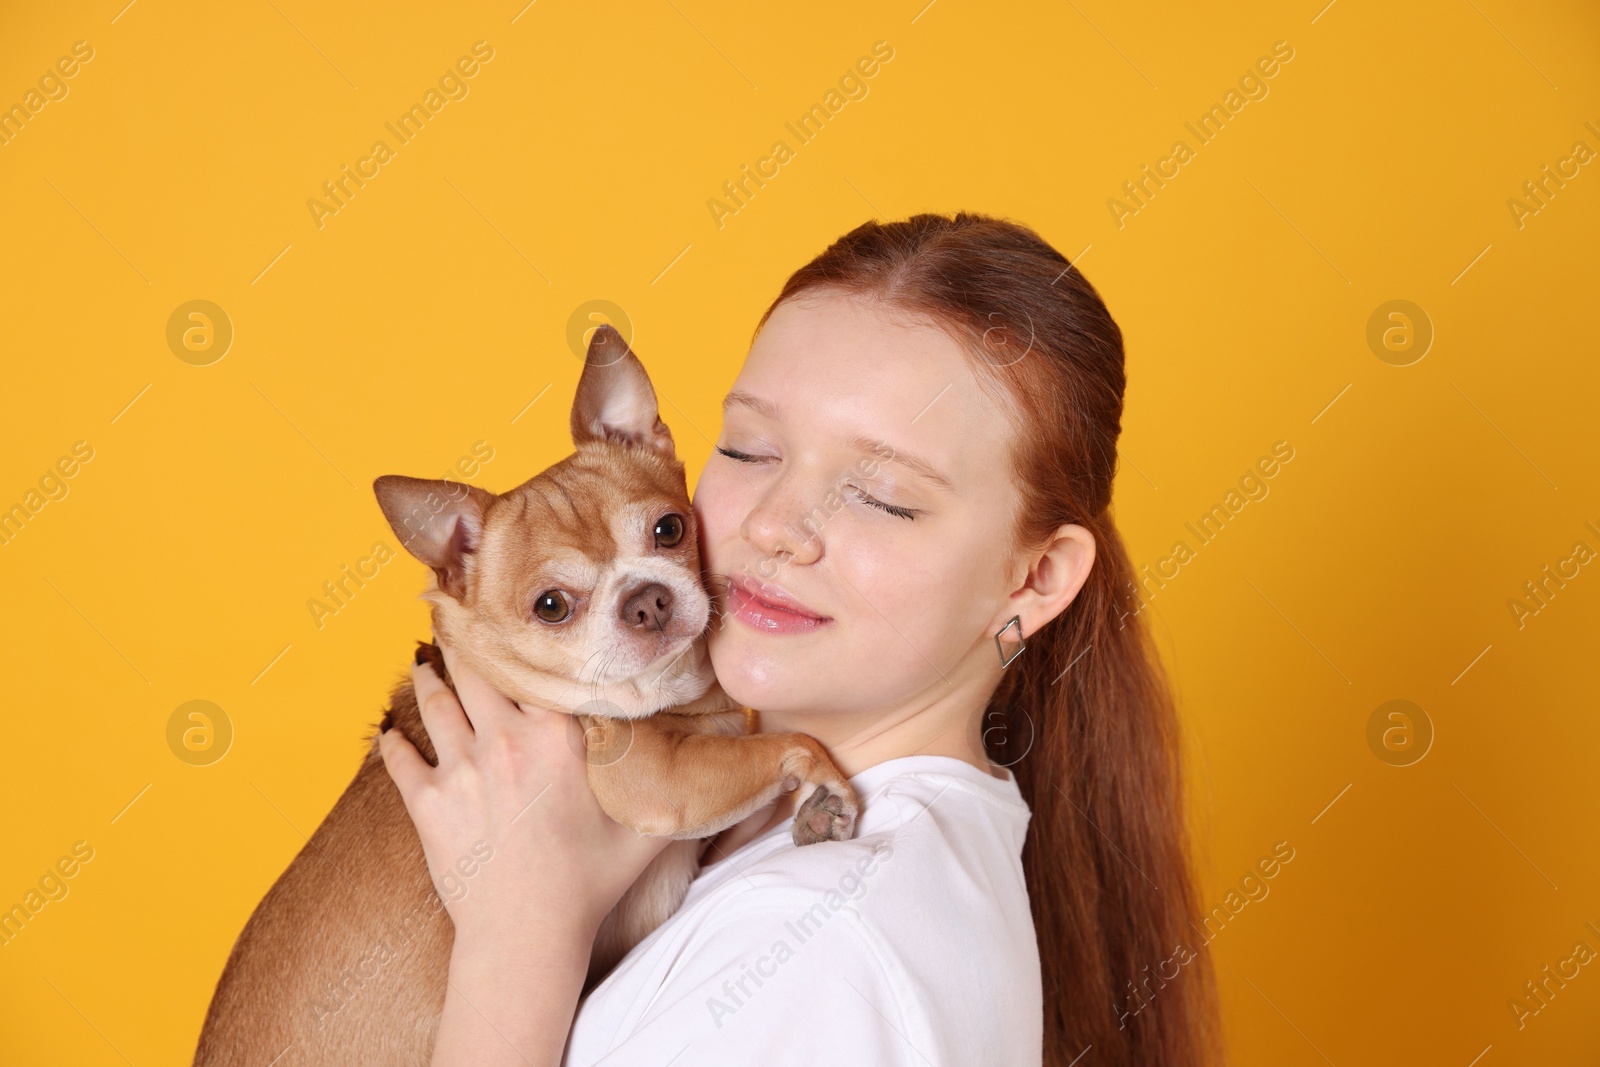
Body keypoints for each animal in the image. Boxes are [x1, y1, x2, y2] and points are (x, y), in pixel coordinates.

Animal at [196, 327, 864, 1067]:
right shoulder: (654, 780)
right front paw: (822, 781)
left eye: (669, 529)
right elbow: (783, 742)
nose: (646, 599)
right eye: (551, 606)